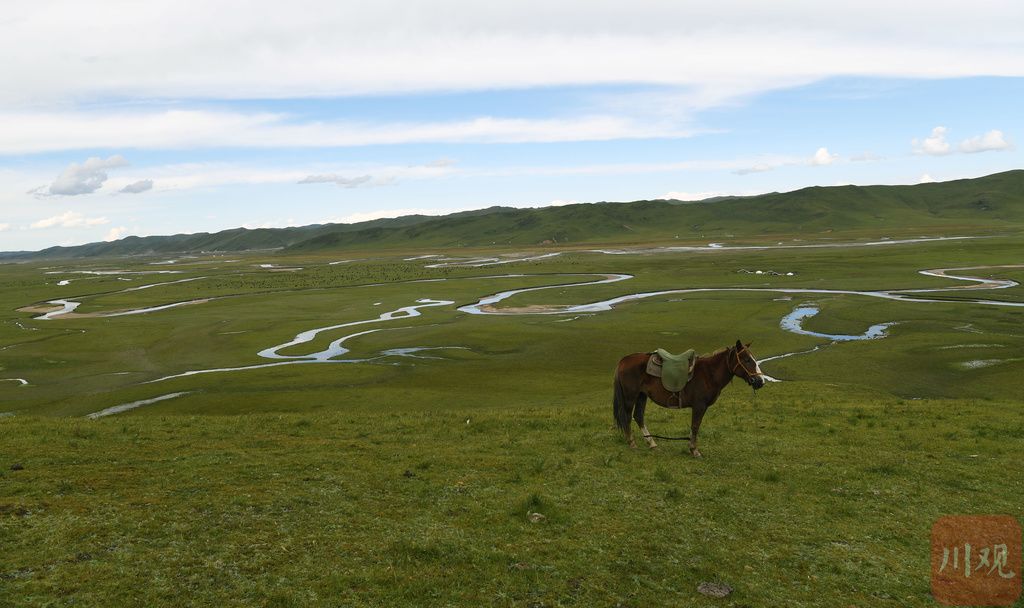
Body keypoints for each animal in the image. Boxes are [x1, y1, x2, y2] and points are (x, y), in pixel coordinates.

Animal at [610, 339, 765, 454]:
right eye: (746, 360)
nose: (760, 381)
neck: (709, 374)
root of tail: (624, 360)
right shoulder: (699, 406)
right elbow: (695, 426)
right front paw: (694, 450)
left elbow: (694, 426)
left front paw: (691, 447)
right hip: (631, 396)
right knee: (627, 416)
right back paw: (632, 443)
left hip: (642, 395)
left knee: (638, 416)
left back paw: (652, 444)